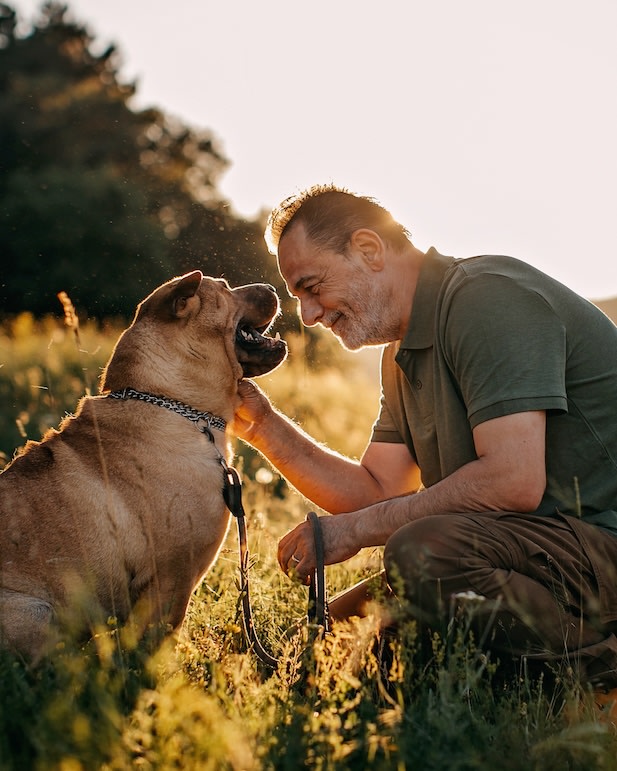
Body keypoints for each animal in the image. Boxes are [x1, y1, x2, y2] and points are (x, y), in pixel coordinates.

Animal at [0, 268, 288, 660]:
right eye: (226, 288)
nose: (274, 285)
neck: (174, 404)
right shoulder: (171, 579)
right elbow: (156, 643)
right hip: (36, 613)